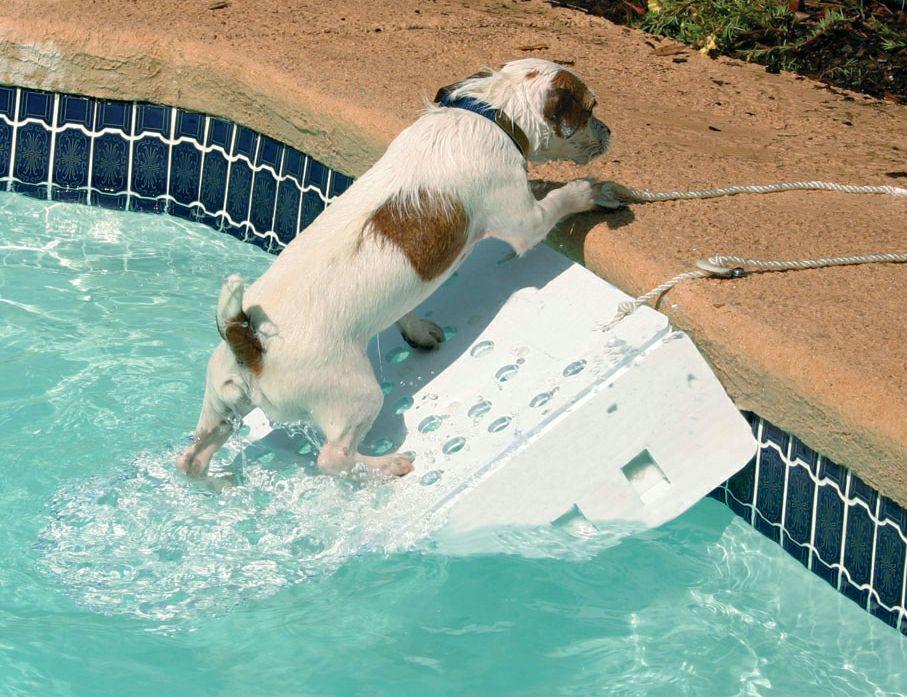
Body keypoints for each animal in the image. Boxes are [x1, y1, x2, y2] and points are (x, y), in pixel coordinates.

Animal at [176, 57, 612, 476]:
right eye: (591, 109)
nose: (609, 132)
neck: (490, 113)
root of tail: (247, 337)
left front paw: (416, 330)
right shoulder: (525, 222)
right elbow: (557, 203)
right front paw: (587, 191)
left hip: (221, 404)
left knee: (193, 457)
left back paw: (214, 478)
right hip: (357, 396)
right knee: (333, 459)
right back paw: (386, 465)